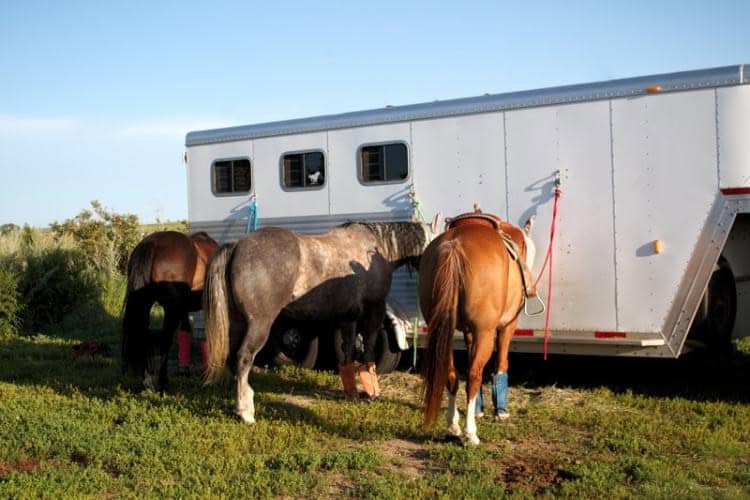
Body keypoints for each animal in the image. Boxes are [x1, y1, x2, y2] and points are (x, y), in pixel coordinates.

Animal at [121, 230, 219, 391]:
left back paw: (148, 380)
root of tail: (153, 243)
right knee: (165, 339)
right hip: (171, 307)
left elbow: (186, 329)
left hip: (149, 303)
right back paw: (162, 381)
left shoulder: (184, 307)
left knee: (146, 335)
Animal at [203, 219, 437, 423]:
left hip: (237, 323)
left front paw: (351, 393)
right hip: (259, 324)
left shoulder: (348, 316)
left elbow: (348, 354)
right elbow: (368, 352)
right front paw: (372, 392)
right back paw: (246, 413)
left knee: (233, 357)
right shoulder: (374, 310)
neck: (374, 249)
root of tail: (237, 246)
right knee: (244, 358)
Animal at [419, 211, 536, 445]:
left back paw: (453, 425)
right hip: (485, 332)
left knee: (452, 375)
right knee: (473, 376)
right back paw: (470, 433)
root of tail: (454, 245)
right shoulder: (507, 326)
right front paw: (501, 411)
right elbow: (501, 363)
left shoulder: (468, 332)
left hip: (443, 330)